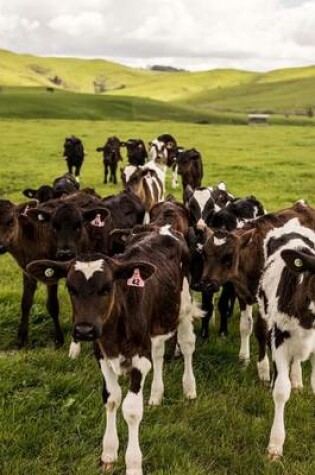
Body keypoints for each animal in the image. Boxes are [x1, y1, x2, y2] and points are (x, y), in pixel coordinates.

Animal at [27, 227, 200, 475]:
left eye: (107, 287)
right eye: (70, 288)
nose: (84, 330)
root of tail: (163, 228)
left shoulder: (139, 360)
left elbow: (131, 410)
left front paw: (133, 464)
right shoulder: (102, 356)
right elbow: (111, 399)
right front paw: (108, 453)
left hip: (183, 305)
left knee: (187, 345)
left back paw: (189, 389)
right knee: (158, 352)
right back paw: (156, 395)